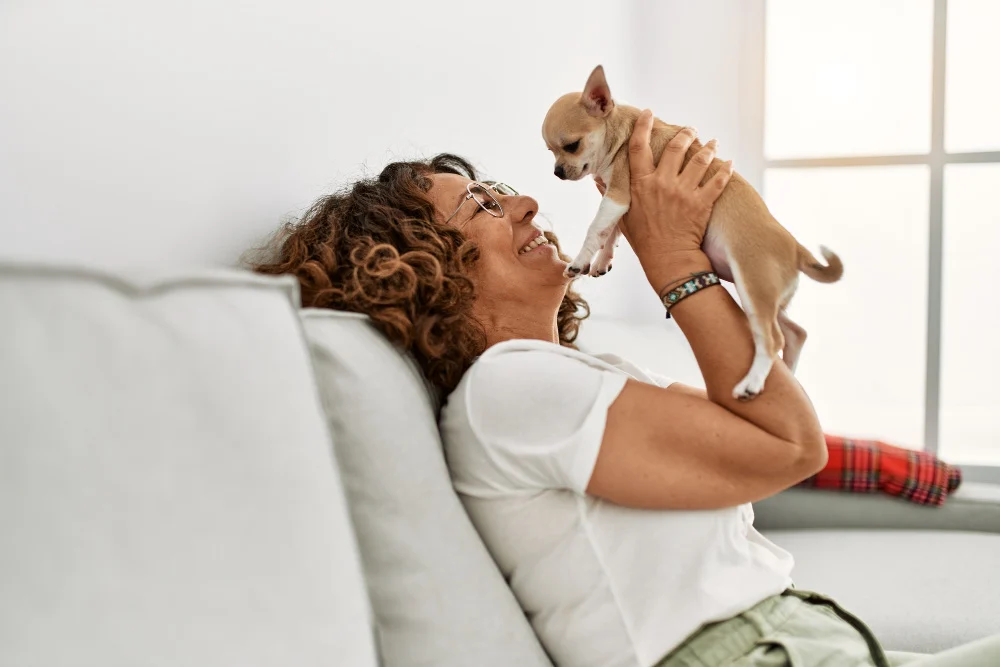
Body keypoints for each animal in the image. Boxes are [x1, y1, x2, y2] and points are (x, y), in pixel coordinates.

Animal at [544, 66, 840, 402]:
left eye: (571, 146)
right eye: (550, 151)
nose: (557, 171)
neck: (623, 132)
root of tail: (797, 248)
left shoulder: (618, 194)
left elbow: (596, 229)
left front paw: (580, 261)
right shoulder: (619, 202)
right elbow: (612, 233)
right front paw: (602, 260)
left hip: (753, 284)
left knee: (773, 339)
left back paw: (751, 383)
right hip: (769, 294)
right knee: (795, 333)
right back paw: (787, 373)